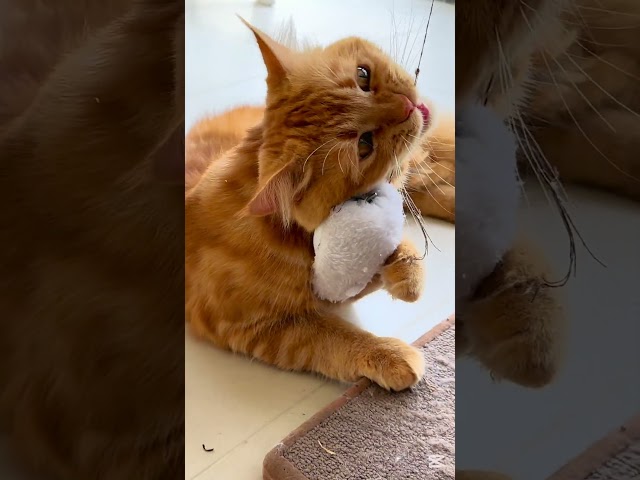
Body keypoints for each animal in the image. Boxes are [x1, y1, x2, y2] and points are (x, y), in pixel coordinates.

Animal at [185, 20, 448, 392]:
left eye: (363, 76)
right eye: (364, 144)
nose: (408, 106)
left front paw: (406, 271)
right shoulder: (260, 328)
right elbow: (333, 337)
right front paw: (389, 353)